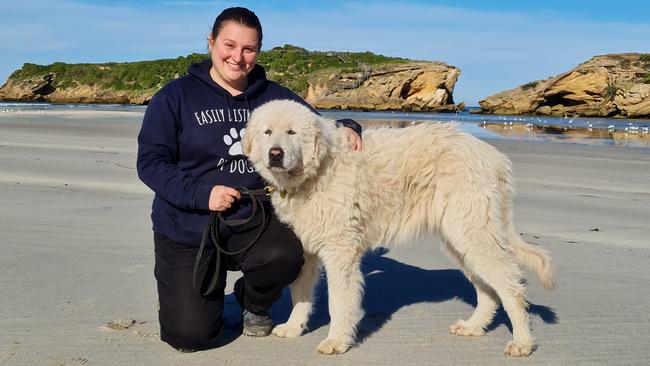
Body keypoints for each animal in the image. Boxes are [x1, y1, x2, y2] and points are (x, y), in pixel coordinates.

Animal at [240, 100, 556, 358]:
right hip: (461, 240)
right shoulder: (306, 251)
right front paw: (294, 327)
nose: (275, 154)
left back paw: (523, 343)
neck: (315, 171)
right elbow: (300, 294)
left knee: (511, 289)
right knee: (488, 291)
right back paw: (473, 327)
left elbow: (338, 302)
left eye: (292, 132)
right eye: (267, 132)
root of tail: (493, 156)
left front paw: (337, 341)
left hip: (473, 232)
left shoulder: (341, 251)